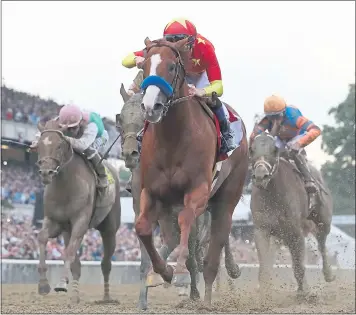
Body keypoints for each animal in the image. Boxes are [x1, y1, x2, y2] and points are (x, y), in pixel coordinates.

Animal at [135, 37, 249, 306]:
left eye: (171, 67)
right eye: (144, 66)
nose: (150, 107)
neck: (172, 139)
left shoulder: (198, 190)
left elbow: (186, 219)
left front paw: (177, 268)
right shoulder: (152, 193)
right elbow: (142, 227)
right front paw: (163, 272)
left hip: (227, 196)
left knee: (216, 245)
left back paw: (207, 297)